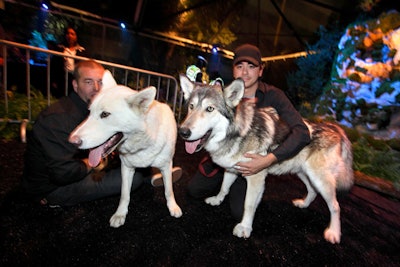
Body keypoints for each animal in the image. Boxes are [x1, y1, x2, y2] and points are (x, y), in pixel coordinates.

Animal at [69, 70, 182, 228]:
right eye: (89, 112)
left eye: (105, 114)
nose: (72, 141)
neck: (141, 143)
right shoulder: (126, 168)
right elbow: (124, 194)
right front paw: (120, 214)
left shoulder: (166, 166)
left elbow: (169, 190)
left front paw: (172, 206)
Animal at [178, 75, 354, 245]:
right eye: (191, 106)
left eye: (210, 109)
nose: (183, 132)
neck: (238, 134)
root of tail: (336, 128)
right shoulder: (231, 170)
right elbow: (224, 188)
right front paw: (217, 200)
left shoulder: (256, 177)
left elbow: (248, 205)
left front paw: (245, 227)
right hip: (304, 174)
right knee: (312, 191)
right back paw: (303, 204)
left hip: (320, 180)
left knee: (335, 206)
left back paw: (333, 233)